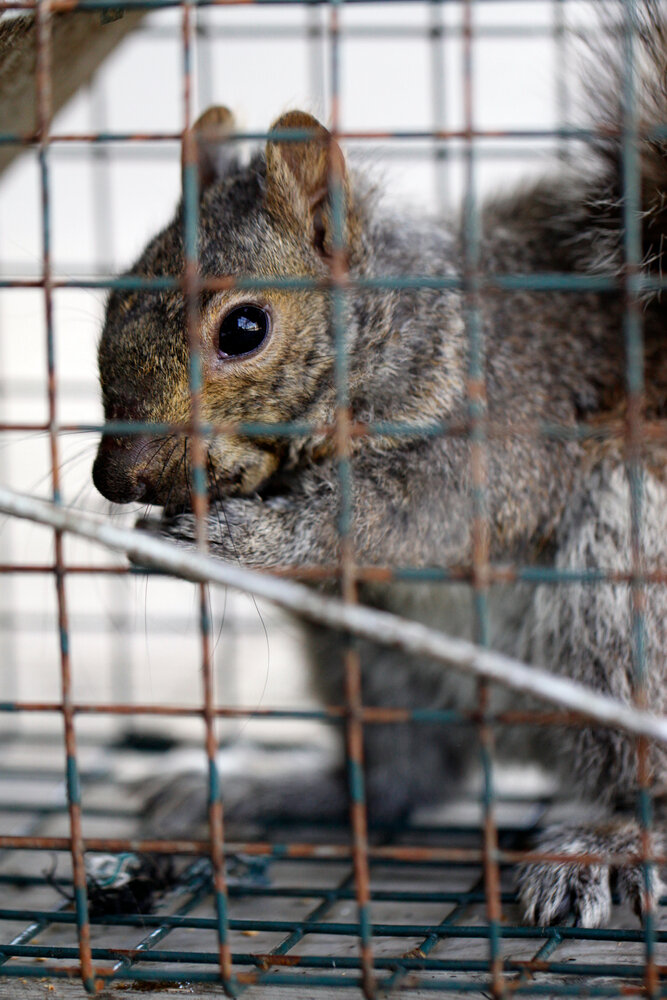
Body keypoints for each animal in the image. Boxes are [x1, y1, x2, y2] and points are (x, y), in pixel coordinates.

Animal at [92, 2, 667, 928]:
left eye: (243, 328)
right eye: (112, 297)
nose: (115, 479)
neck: (410, 331)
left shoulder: (502, 438)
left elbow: (393, 519)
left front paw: (235, 541)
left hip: (621, 588)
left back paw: (606, 838)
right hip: (371, 660)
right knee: (401, 778)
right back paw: (275, 789)